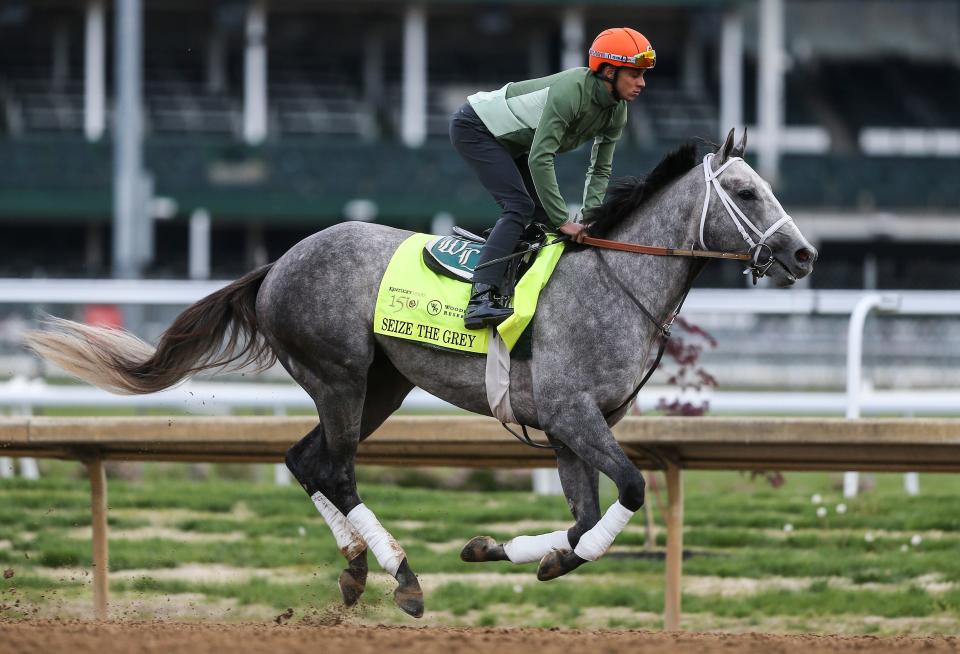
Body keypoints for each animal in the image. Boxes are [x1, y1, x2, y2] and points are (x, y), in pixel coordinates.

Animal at [24, 129, 816, 620]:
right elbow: (629, 491)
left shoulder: (572, 428)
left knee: (303, 460)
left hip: (382, 384)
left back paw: (354, 570)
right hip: (340, 376)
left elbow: (586, 515)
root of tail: (278, 263)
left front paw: (509, 551)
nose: (803, 254)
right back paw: (402, 579)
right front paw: (547, 557)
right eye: (747, 192)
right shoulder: (572, 414)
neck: (615, 283)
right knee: (337, 470)